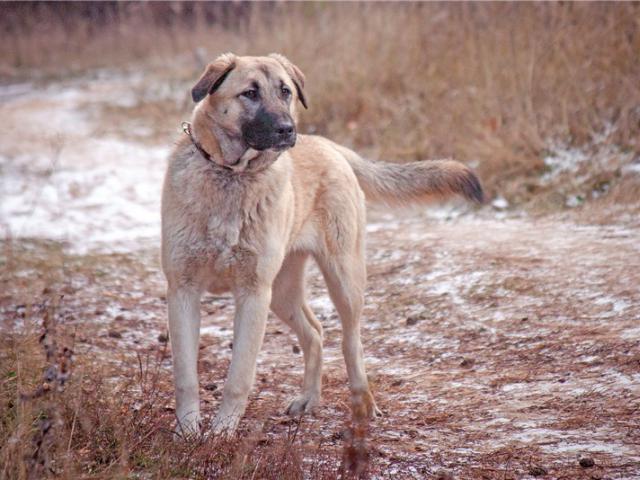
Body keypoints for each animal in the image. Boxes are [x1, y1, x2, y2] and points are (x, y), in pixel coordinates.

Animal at [160, 52, 480, 436]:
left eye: (285, 91)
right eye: (249, 93)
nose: (287, 130)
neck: (231, 175)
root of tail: (331, 146)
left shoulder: (253, 293)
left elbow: (239, 376)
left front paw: (221, 434)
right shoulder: (183, 290)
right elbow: (185, 376)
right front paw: (187, 432)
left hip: (342, 278)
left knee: (351, 340)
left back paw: (362, 404)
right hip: (282, 292)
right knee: (314, 332)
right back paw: (309, 399)